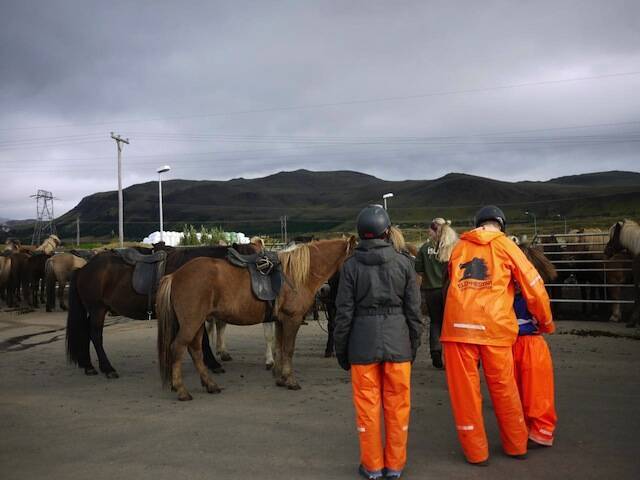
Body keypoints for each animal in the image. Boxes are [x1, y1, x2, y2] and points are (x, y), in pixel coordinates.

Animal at [155, 237, 356, 402]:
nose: (325, 291)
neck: (296, 275)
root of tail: (175, 275)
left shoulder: (280, 321)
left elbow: (279, 348)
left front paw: (280, 378)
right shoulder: (292, 320)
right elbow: (288, 350)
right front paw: (291, 381)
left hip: (197, 324)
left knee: (196, 350)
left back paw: (210, 385)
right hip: (191, 323)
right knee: (178, 348)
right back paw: (182, 390)